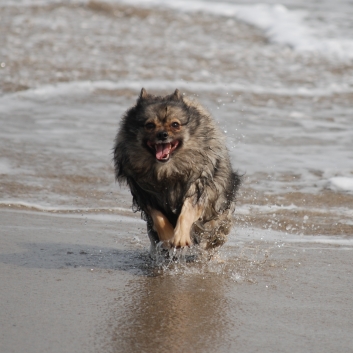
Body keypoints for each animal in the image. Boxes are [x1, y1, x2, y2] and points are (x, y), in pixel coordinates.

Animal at [113, 88, 239, 252]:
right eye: (149, 125)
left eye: (175, 124)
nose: (162, 134)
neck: (167, 171)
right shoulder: (144, 192)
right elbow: (158, 216)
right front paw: (167, 237)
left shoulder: (198, 185)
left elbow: (187, 210)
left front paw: (180, 238)